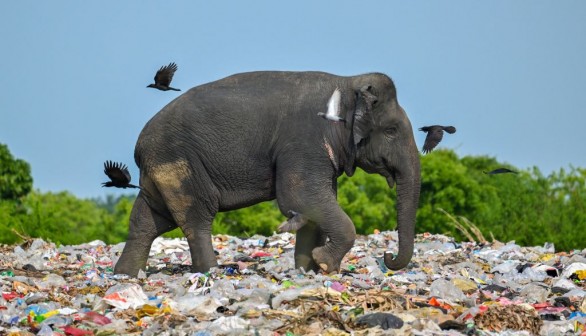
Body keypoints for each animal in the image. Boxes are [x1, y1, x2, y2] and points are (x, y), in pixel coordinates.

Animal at [112, 69, 418, 276]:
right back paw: (212, 272)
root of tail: (139, 145)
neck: (347, 83)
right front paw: (323, 263)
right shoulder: (303, 144)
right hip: (179, 162)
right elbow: (299, 197)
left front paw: (308, 270)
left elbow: (313, 206)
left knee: (148, 220)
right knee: (196, 216)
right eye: (391, 130)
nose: (388, 257)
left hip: (161, 170)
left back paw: (126, 274)